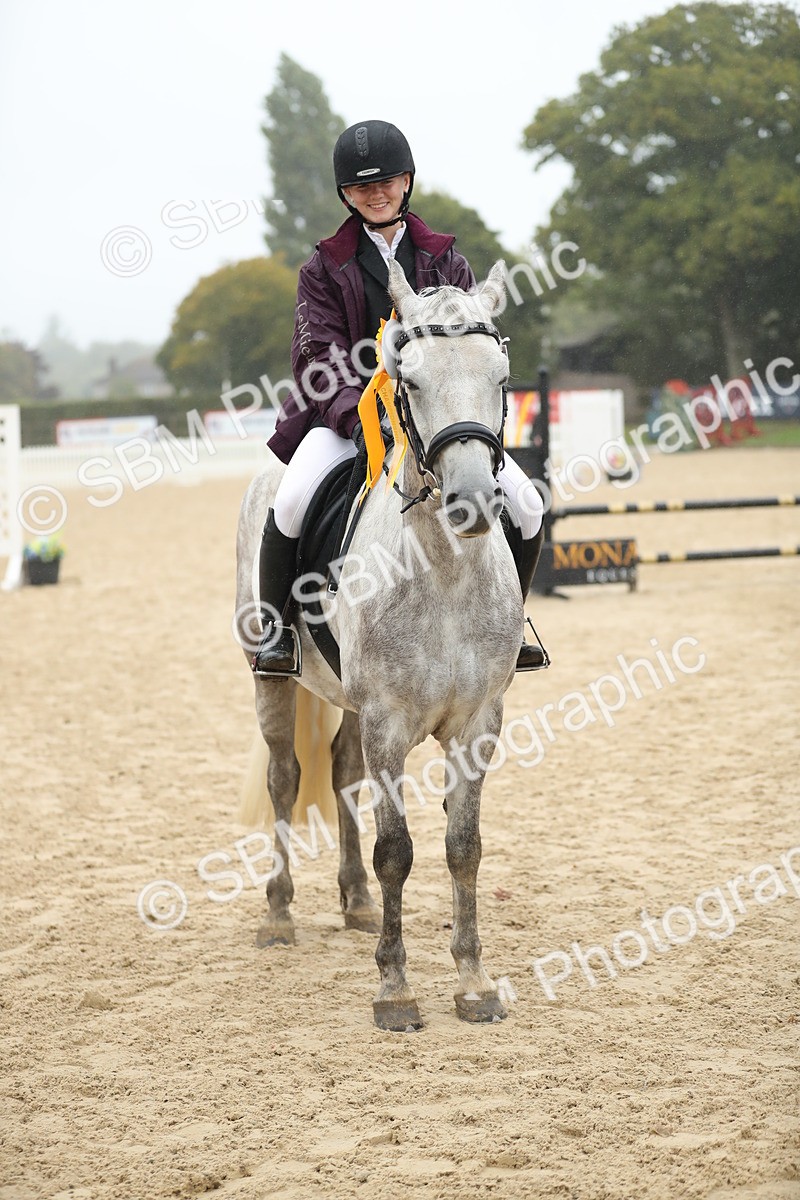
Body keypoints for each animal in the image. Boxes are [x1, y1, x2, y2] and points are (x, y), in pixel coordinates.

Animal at [235, 260, 525, 1031]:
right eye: (410, 381)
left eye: (501, 377)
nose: (472, 504)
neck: (446, 572)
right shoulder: (390, 724)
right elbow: (397, 849)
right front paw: (395, 990)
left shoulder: (478, 723)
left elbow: (463, 848)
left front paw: (473, 983)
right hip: (272, 680)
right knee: (285, 778)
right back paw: (279, 915)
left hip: (351, 706)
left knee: (341, 775)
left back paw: (357, 902)